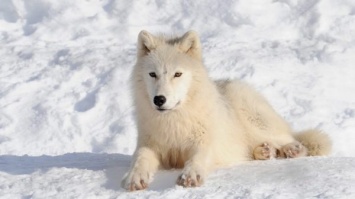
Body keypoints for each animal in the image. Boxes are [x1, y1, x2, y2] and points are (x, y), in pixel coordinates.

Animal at [121, 30, 330, 190]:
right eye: (152, 74)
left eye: (177, 74)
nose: (159, 100)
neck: (174, 122)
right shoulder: (148, 144)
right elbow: (139, 158)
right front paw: (134, 177)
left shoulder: (204, 141)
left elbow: (198, 158)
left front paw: (190, 176)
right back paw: (265, 151)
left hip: (255, 121)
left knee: (292, 139)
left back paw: (292, 150)